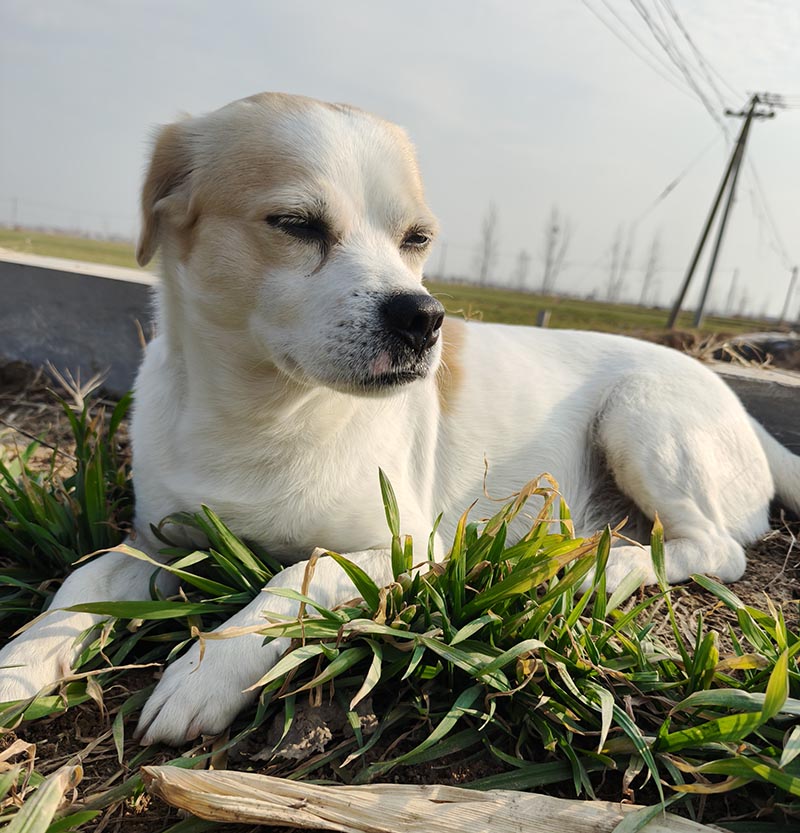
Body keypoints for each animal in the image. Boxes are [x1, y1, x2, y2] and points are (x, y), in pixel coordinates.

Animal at [1, 94, 800, 744]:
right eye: (295, 224)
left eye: (417, 238)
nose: (423, 318)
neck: (267, 413)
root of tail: (737, 404)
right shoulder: (159, 543)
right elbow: (82, 583)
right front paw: (20, 664)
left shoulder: (410, 546)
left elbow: (298, 575)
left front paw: (205, 669)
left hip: (640, 416)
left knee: (715, 548)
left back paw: (606, 568)